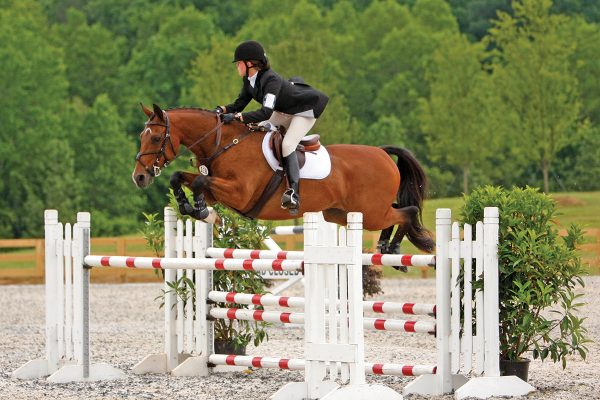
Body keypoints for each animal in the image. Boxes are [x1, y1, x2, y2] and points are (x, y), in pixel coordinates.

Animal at [131, 102, 434, 253]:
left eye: (155, 138)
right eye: (142, 136)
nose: (139, 178)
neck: (225, 144)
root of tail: (382, 153)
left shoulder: (240, 193)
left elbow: (198, 182)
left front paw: (202, 210)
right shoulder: (220, 190)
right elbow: (181, 177)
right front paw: (189, 206)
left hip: (369, 212)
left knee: (407, 211)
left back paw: (394, 247)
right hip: (340, 212)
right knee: (397, 212)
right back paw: (384, 246)